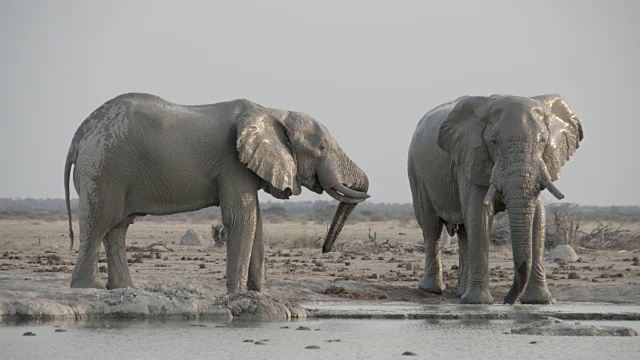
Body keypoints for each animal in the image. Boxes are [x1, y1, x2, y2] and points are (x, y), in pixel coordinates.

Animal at [65, 91, 370, 292]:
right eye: (322, 148)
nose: (325, 249)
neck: (272, 112)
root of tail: (80, 134)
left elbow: (256, 222)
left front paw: (258, 293)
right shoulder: (233, 164)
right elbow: (242, 219)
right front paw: (237, 293)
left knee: (117, 228)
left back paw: (124, 289)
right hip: (104, 168)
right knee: (99, 224)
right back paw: (88, 288)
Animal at [408, 93, 584, 304]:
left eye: (543, 140)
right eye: (493, 142)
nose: (508, 301)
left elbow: (537, 217)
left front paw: (540, 301)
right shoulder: (470, 158)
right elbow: (479, 213)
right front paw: (479, 303)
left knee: (464, 231)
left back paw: (461, 293)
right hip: (416, 171)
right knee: (431, 226)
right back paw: (432, 290)